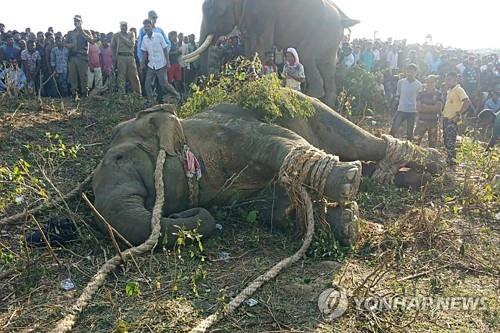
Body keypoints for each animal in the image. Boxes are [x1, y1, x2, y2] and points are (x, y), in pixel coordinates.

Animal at [184, 0, 360, 106]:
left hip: (321, 31)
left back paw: (313, 97)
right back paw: (327, 103)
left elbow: (261, 45)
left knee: (306, 56)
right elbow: (250, 46)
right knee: (328, 67)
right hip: (331, 38)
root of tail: (342, 18)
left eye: (211, 9)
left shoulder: (261, 14)